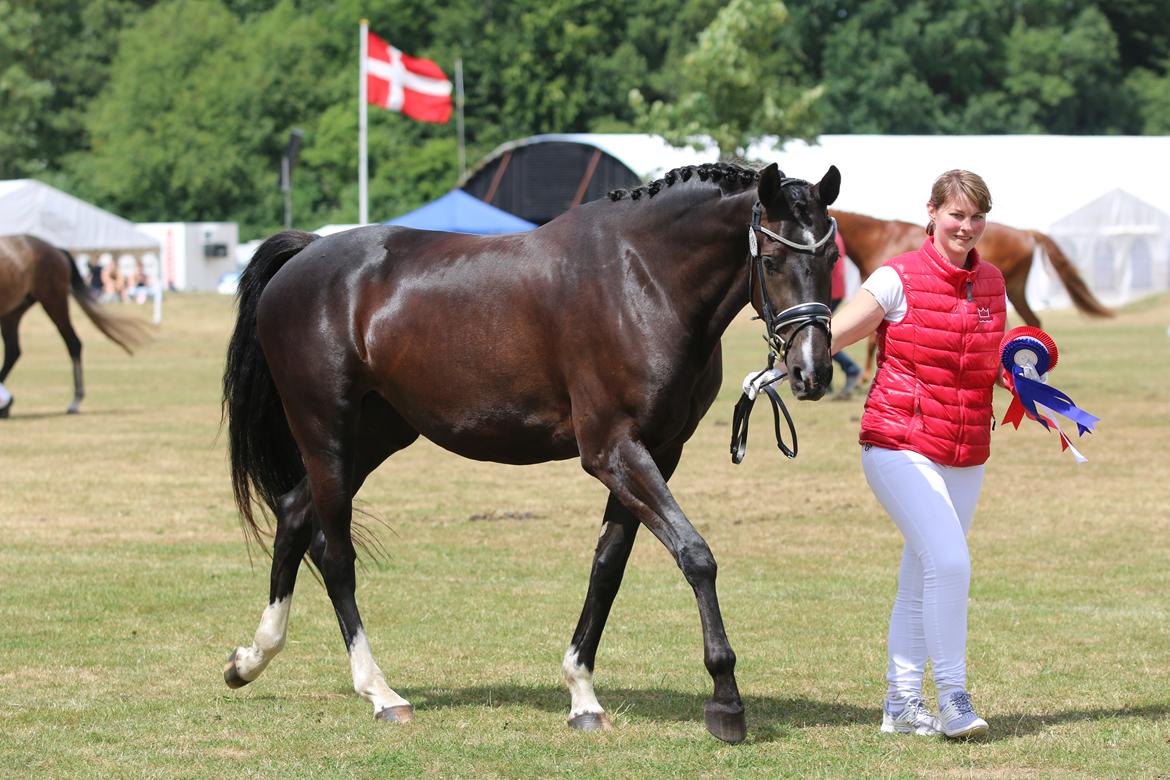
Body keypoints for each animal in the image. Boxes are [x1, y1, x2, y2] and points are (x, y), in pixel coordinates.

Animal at [0, 235, 150, 418]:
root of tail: (55, 249)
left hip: (53, 300)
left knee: (73, 343)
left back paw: (74, 402)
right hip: (13, 312)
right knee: (12, 351)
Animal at [221, 161, 842, 743]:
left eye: (832, 256)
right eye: (772, 261)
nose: (811, 372)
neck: (641, 278)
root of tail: (307, 254)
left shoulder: (658, 453)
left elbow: (608, 567)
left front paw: (583, 695)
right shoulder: (613, 451)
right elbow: (695, 555)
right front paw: (726, 699)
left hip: (375, 436)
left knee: (294, 513)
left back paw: (250, 659)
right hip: (325, 432)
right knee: (335, 555)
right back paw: (379, 692)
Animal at [828, 211, 1109, 383]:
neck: (880, 238)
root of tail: (1025, 233)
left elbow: (871, 341)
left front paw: (863, 378)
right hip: (1015, 290)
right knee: (1032, 321)